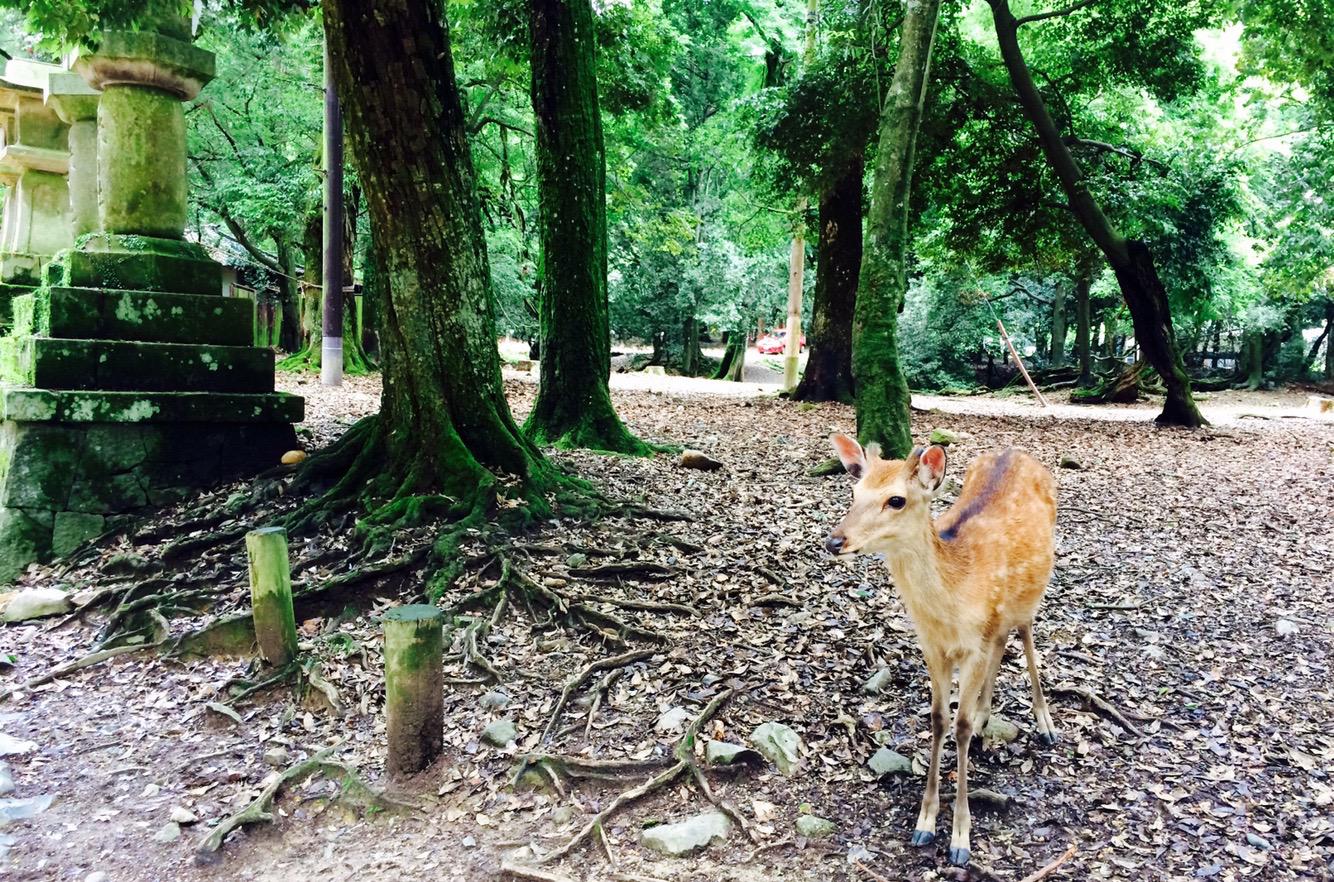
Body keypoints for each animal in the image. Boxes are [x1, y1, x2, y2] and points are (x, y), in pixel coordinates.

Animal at [821, 437, 1051, 864]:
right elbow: (939, 719)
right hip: (999, 619)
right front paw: (925, 822)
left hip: (1033, 589)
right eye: (854, 492)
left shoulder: (973, 645)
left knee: (1026, 632)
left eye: (896, 500)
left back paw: (1045, 724)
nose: (835, 541)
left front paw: (960, 838)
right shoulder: (933, 646)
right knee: (1002, 642)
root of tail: (1016, 452)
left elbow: (958, 727)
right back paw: (985, 715)